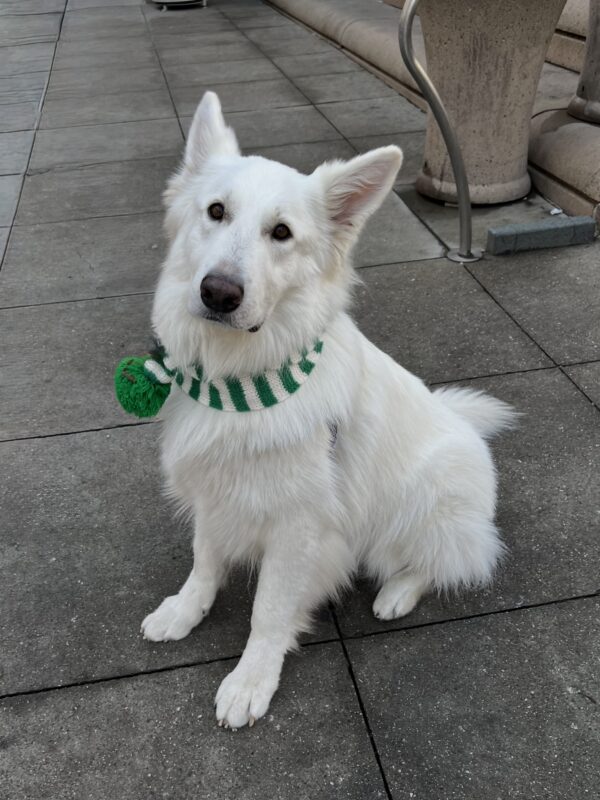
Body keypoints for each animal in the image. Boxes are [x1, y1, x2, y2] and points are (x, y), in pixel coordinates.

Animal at [139, 90, 510, 728]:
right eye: (216, 212)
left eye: (281, 232)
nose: (218, 293)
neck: (243, 379)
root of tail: (464, 426)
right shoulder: (216, 492)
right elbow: (204, 562)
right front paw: (185, 612)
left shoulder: (297, 527)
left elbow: (268, 612)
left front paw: (250, 682)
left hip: (419, 507)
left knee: (445, 562)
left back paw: (396, 594)